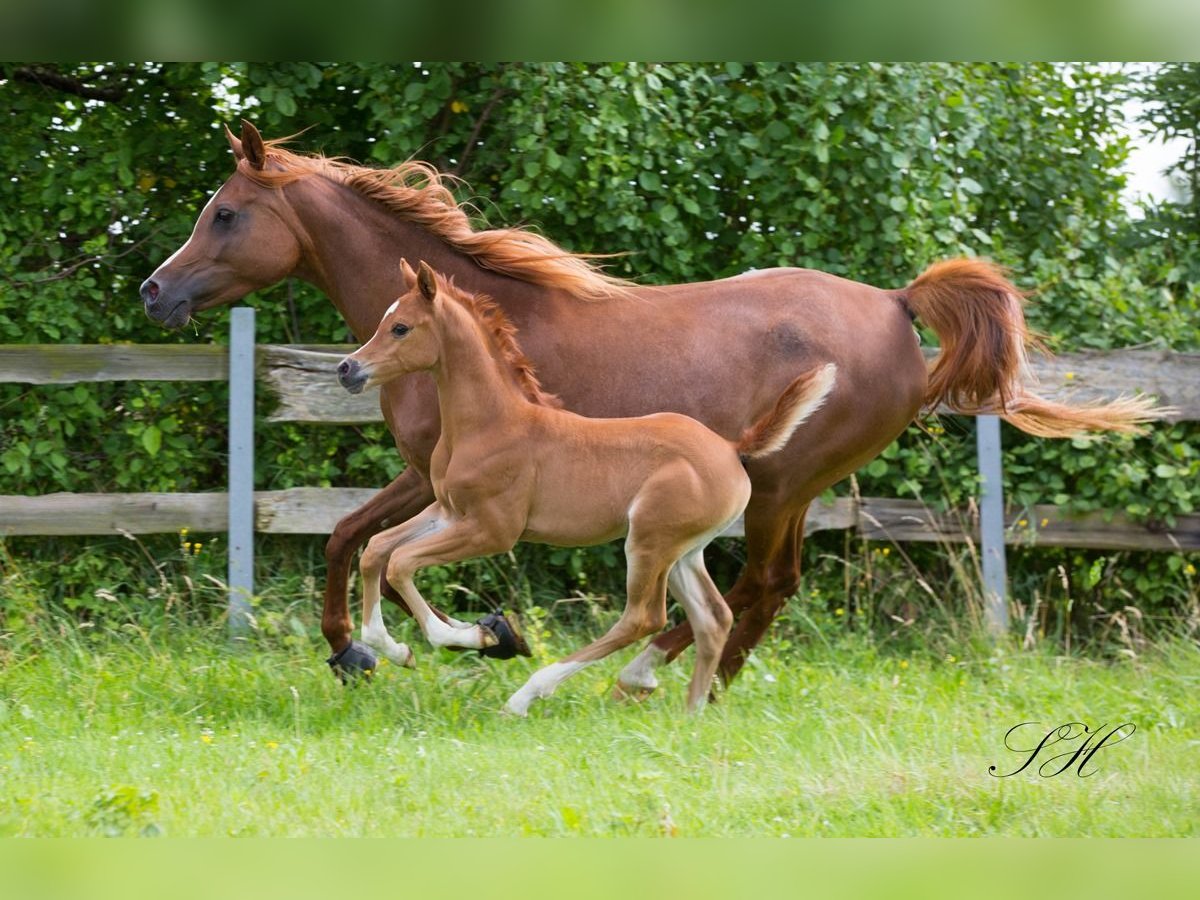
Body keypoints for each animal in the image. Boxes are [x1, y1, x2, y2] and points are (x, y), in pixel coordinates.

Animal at [336, 262, 835, 720]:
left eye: (401, 327)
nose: (347, 368)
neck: (492, 423)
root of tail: (733, 448)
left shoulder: (492, 531)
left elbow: (401, 563)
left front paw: (481, 634)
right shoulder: (448, 511)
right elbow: (377, 549)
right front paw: (397, 649)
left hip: (649, 541)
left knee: (644, 617)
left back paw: (528, 695)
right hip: (683, 552)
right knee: (713, 617)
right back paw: (691, 714)